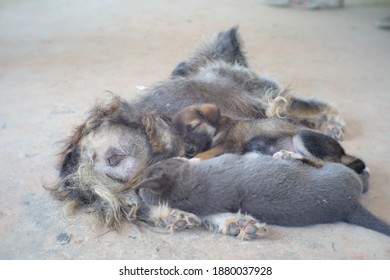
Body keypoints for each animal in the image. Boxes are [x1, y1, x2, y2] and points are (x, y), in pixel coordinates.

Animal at [171, 103, 366, 173]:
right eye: (179, 136)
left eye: (193, 127)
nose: (188, 151)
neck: (219, 126)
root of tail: (342, 152)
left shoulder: (229, 144)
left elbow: (204, 154)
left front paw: (187, 160)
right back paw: (285, 155)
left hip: (301, 136)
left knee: (319, 163)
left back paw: (289, 155)